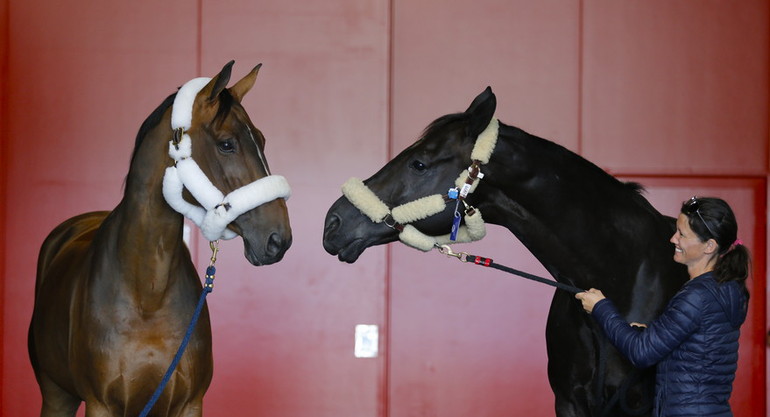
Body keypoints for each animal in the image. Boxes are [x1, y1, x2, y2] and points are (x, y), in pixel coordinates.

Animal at [28, 61, 290, 416]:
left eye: (261, 140)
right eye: (226, 144)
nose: (279, 239)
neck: (148, 293)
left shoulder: (189, 403)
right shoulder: (100, 404)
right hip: (57, 394)